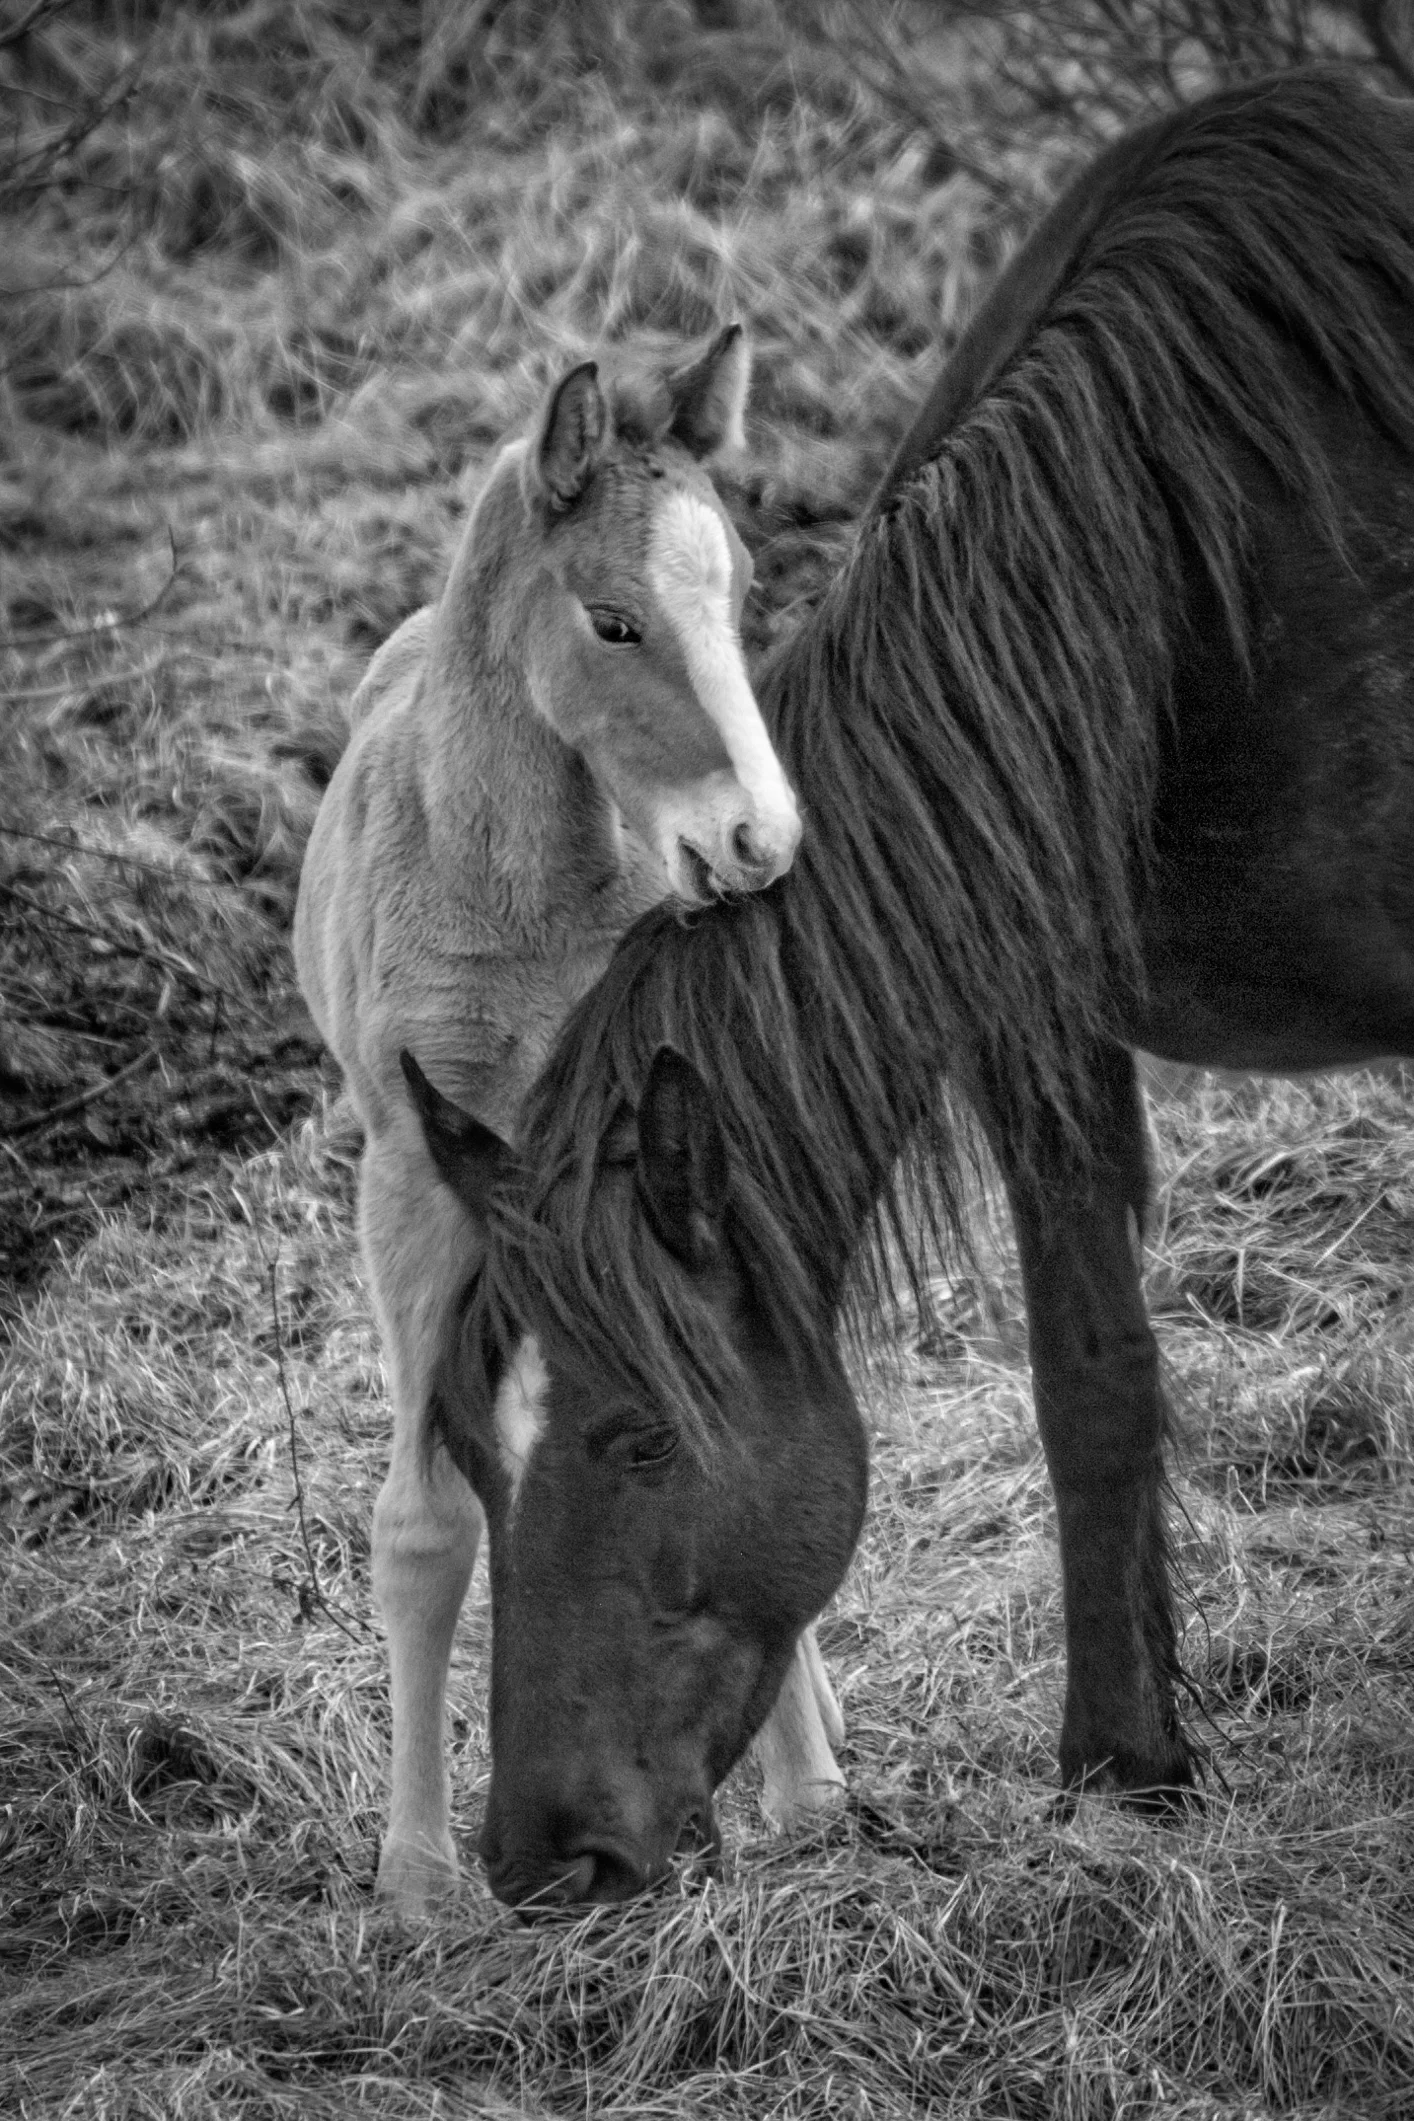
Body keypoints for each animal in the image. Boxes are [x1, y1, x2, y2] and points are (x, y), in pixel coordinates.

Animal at [292, 324, 848, 1916]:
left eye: (741, 590)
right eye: (612, 623)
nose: (760, 844)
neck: (518, 900)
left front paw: (807, 1792)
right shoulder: (416, 1184)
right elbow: (427, 1520)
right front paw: (416, 1877)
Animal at [403, 68, 1414, 1906]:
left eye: (635, 1439)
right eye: (470, 1456)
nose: (542, 1859)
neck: (1207, 575)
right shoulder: (1039, 1019)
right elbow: (1090, 1380)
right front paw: (1122, 1766)